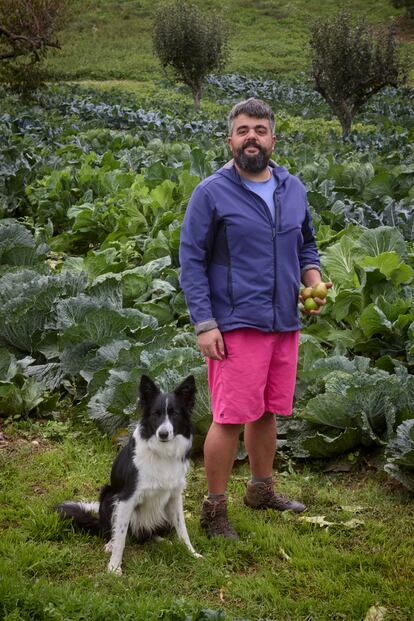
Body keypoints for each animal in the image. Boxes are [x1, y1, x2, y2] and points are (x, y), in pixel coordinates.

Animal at [57, 372, 201, 572]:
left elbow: (182, 529)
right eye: (156, 414)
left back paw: (162, 541)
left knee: (149, 533)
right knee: (113, 531)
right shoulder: (126, 498)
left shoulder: (175, 496)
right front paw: (114, 568)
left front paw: (191, 553)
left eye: (175, 414)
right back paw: (110, 544)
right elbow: (121, 537)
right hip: (109, 496)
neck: (162, 452)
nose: (163, 434)